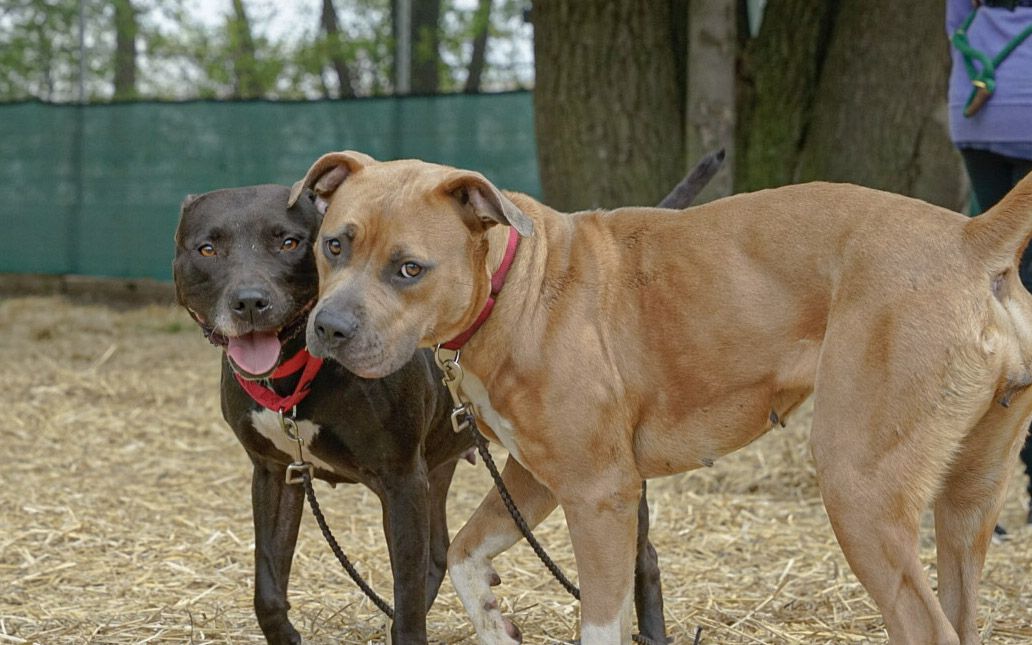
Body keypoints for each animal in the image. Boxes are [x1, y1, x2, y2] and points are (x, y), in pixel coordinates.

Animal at [173, 159, 718, 639]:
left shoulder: (401, 481)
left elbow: (408, 592)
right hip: (439, 469)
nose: (250, 301)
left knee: (642, 560)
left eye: (289, 242)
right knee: (438, 555)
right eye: (207, 250)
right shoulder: (274, 474)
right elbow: (268, 587)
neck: (295, 376)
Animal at [286, 151, 1032, 643]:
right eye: (334, 245)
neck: (515, 282)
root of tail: (969, 238)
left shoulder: (598, 493)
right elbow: (469, 555)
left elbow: (599, 622)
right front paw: (498, 623)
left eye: (409, 269)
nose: (329, 328)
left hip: (861, 490)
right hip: (967, 504)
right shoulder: (539, 474)